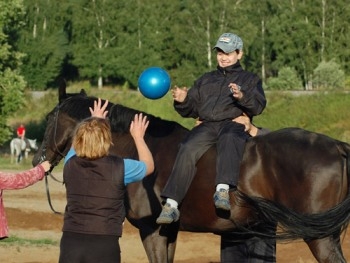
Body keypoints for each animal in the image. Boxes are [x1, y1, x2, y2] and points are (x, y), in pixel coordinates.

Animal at [32, 87, 350, 262]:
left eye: (49, 118)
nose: (38, 159)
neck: (140, 147)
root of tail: (337, 146)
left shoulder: (151, 231)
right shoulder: (169, 232)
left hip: (320, 238)